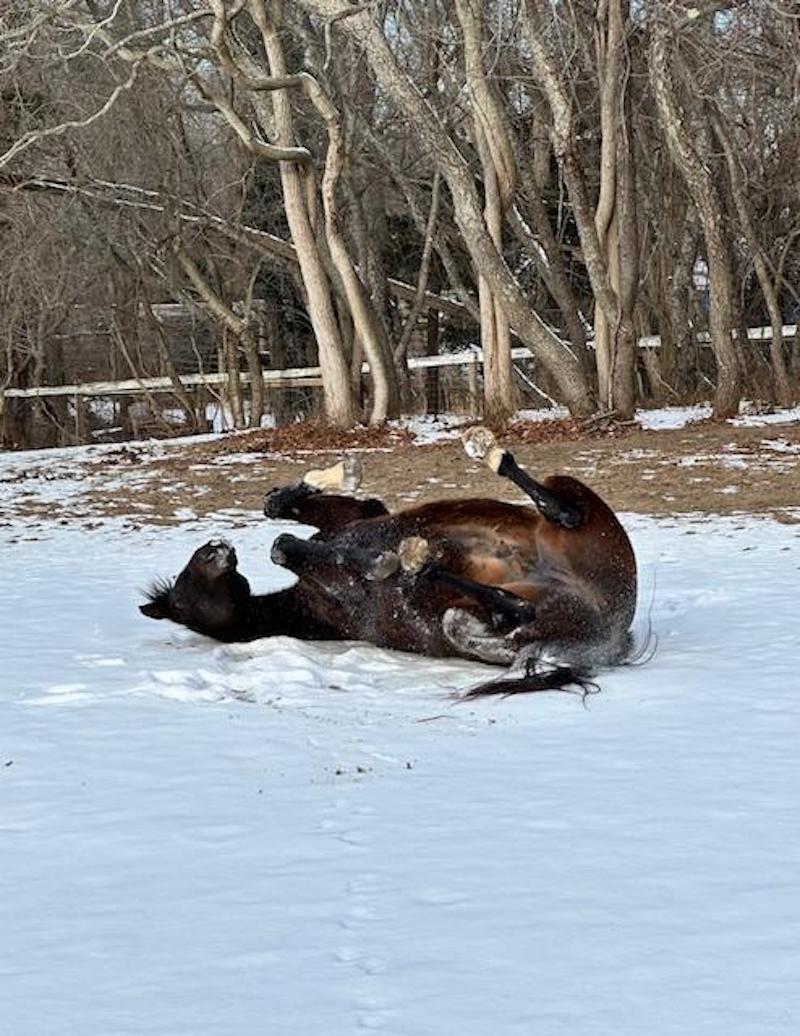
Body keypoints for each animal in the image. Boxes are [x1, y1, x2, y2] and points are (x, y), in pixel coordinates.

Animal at [140, 428, 637, 697]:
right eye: (184, 585)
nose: (215, 547)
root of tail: (610, 627)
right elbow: (284, 545)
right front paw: (382, 559)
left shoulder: (361, 514)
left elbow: (278, 511)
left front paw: (340, 474)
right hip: (466, 621)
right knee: (513, 606)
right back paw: (418, 560)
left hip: (570, 502)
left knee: (562, 510)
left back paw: (486, 452)